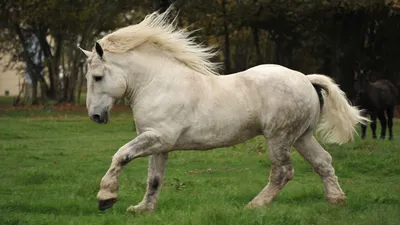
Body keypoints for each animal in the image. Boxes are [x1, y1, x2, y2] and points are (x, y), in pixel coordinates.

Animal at [79, 8, 368, 213]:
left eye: (97, 77)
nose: (96, 116)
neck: (158, 83)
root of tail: (306, 79)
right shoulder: (159, 144)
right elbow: (154, 179)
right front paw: (142, 209)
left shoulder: (159, 137)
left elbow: (121, 155)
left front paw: (106, 198)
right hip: (301, 137)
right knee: (323, 163)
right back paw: (337, 201)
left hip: (279, 137)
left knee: (283, 172)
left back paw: (254, 206)